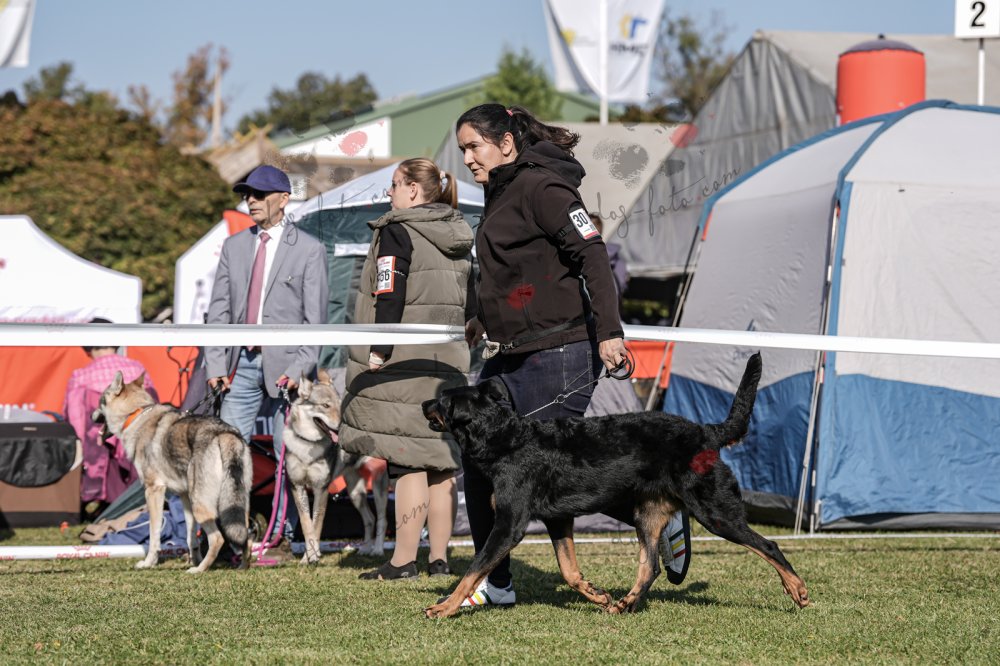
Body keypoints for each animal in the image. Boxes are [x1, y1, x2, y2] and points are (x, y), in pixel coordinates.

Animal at [92, 372, 252, 573]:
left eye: (100, 402)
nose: (91, 415)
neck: (136, 414)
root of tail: (224, 434)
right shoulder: (184, 497)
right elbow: (191, 538)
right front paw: (193, 559)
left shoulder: (154, 491)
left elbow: (154, 535)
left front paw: (148, 563)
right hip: (233, 507)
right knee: (245, 537)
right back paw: (241, 567)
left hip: (202, 506)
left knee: (218, 539)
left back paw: (199, 570)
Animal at [283, 377, 388, 564]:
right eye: (325, 405)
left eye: (340, 406)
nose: (341, 426)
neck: (307, 445)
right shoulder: (298, 487)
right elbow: (307, 525)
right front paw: (307, 558)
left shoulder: (321, 489)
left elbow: (316, 524)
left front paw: (314, 556)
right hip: (355, 493)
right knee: (370, 519)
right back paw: (364, 549)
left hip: (378, 489)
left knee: (383, 520)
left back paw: (377, 550)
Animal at [421, 352, 809, 617]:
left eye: (443, 401)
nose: (424, 402)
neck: (506, 438)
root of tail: (707, 433)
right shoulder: (558, 519)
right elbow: (569, 570)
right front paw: (596, 594)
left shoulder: (509, 524)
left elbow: (474, 569)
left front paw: (444, 607)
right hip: (646, 513)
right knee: (650, 566)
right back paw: (624, 603)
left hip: (715, 511)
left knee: (768, 545)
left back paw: (798, 589)